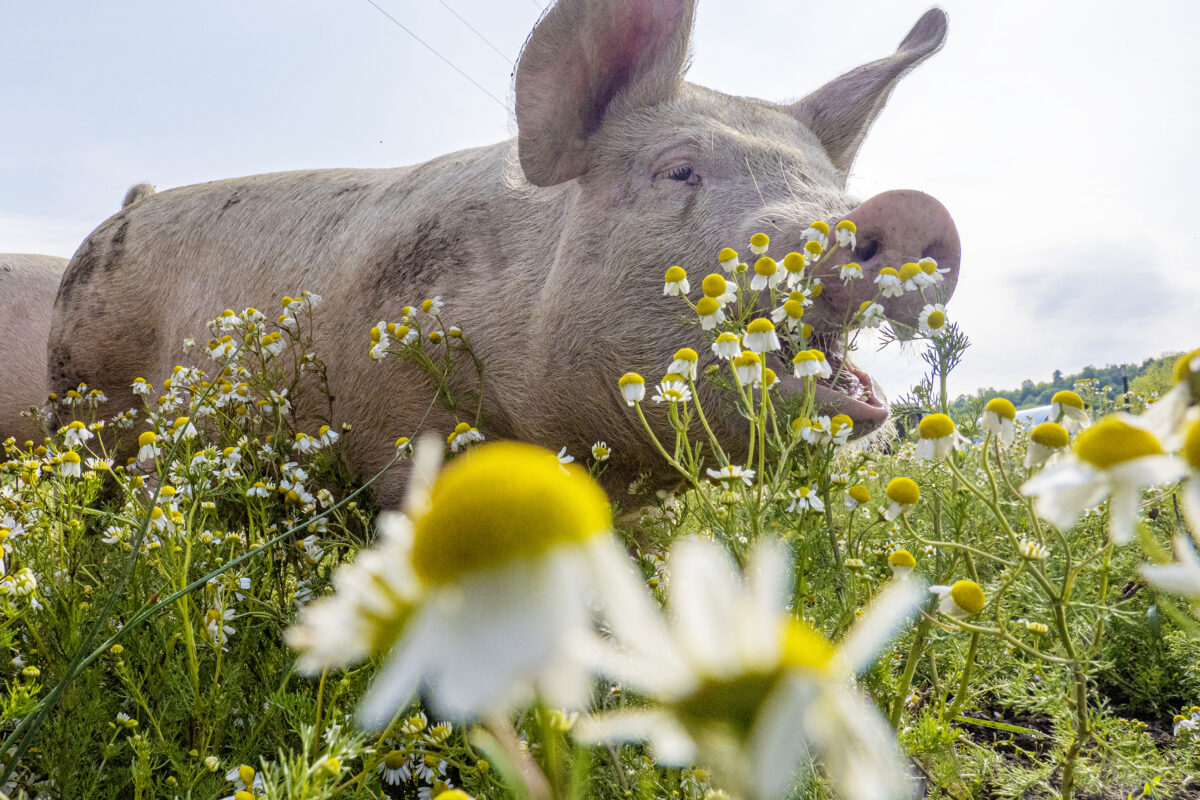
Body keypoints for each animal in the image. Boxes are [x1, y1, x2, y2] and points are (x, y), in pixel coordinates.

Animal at [46, 0, 960, 506]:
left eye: (827, 181)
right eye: (679, 170)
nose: (914, 207)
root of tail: (131, 204)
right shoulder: (399, 421)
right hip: (80, 389)